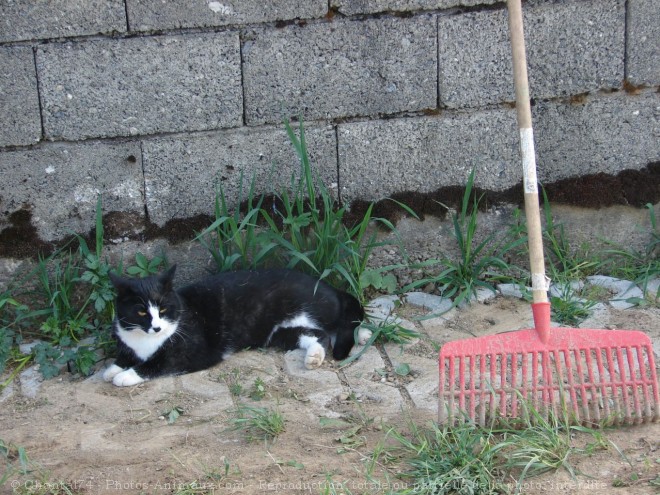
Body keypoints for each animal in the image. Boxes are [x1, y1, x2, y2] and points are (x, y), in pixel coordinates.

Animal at [105, 268, 368, 388]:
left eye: (163, 309)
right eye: (141, 312)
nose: (157, 328)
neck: (144, 341)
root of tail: (330, 287)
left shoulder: (192, 354)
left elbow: (157, 364)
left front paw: (125, 375)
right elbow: (126, 356)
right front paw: (112, 369)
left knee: (339, 325)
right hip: (280, 333)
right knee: (321, 334)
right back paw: (316, 356)